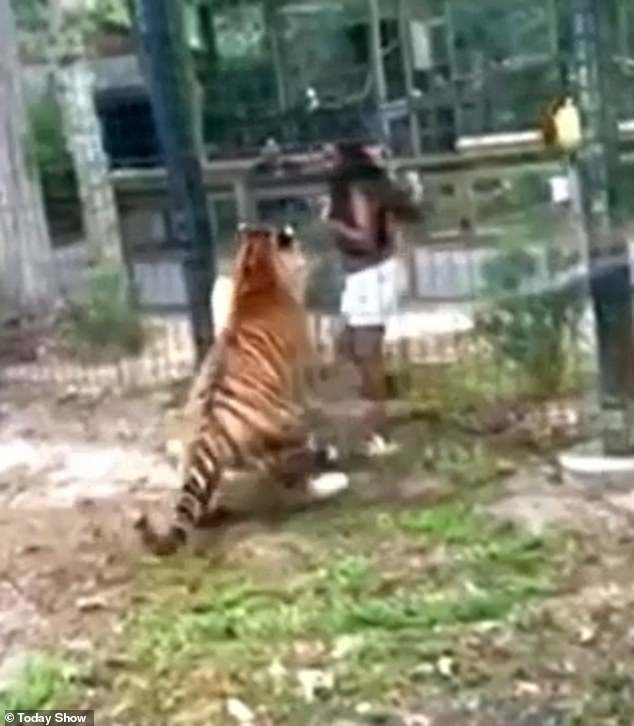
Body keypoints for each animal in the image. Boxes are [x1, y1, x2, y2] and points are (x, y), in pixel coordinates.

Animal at [133, 223, 348, 556]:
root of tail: (209, 431)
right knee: (294, 480)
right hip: (286, 426)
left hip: (193, 456)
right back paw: (331, 481)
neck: (256, 275)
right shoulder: (301, 381)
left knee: (196, 501)